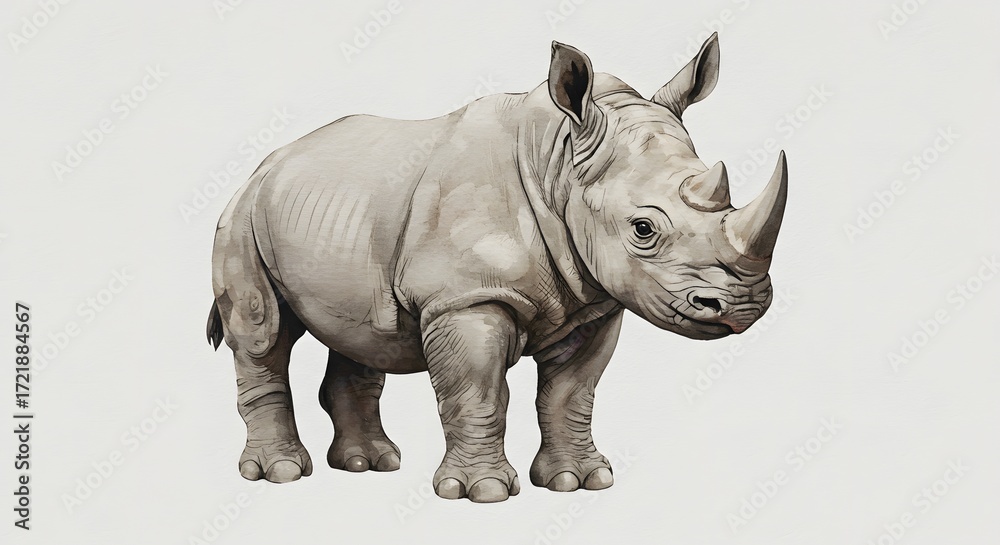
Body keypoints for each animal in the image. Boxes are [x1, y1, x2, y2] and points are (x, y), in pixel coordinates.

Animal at [207, 33, 787, 503]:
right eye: (643, 228)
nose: (743, 305)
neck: (558, 161)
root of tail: (266, 164)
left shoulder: (595, 302)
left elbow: (571, 394)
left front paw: (579, 482)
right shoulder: (465, 297)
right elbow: (477, 393)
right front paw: (481, 492)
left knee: (361, 333)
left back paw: (368, 465)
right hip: (241, 215)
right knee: (263, 334)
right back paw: (281, 473)